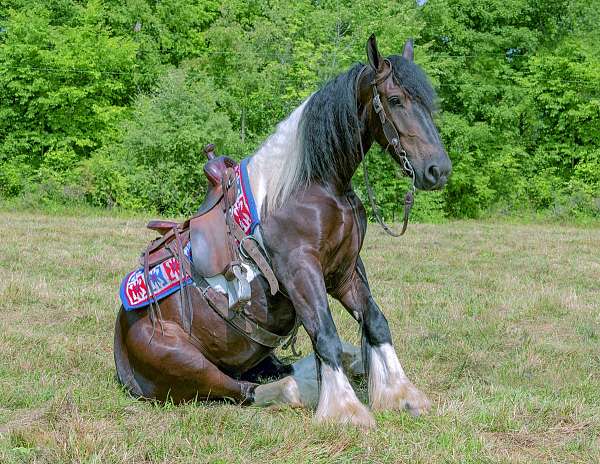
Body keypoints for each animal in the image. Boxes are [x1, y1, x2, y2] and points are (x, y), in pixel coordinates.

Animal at [113, 34, 450, 430]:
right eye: (395, 100)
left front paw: (401, 394)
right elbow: (325, 334)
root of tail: (122, 349)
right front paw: (345, 410)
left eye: (429, 103)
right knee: (245, 389)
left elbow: (376, 323)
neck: (311, 185)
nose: (438, 169)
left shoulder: (345, 270)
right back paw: (304, 387)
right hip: (184, 360)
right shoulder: (300, 269)